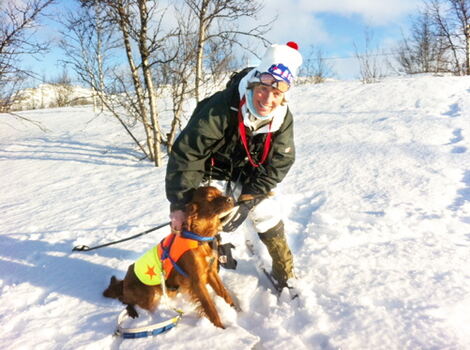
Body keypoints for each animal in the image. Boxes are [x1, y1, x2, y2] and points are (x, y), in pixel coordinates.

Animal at [103, 186, 235, 328]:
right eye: (210, 196)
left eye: (220, 193)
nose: (230, 199)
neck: (199, 237)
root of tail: (124, 283)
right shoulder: (197, 280)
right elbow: (210, 307)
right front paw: (220, 328)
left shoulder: (211, 271)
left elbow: (224, 293)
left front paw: (235, 309)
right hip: (149, 295)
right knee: (125, 300)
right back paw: (133, 312)